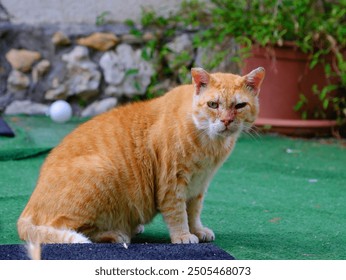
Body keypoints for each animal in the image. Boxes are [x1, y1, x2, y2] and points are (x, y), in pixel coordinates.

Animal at [16, 66, 264, 244]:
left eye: (239, 106)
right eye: (213, 104)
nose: (226, 121)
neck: (210, 143)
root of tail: (28, 209)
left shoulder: (198, 186)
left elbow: (193, 212)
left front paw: (198, 230)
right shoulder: (171, 182)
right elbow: (178, 213)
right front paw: (183, 236)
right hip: (103, 173)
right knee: (68, 229)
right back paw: (115, 234)